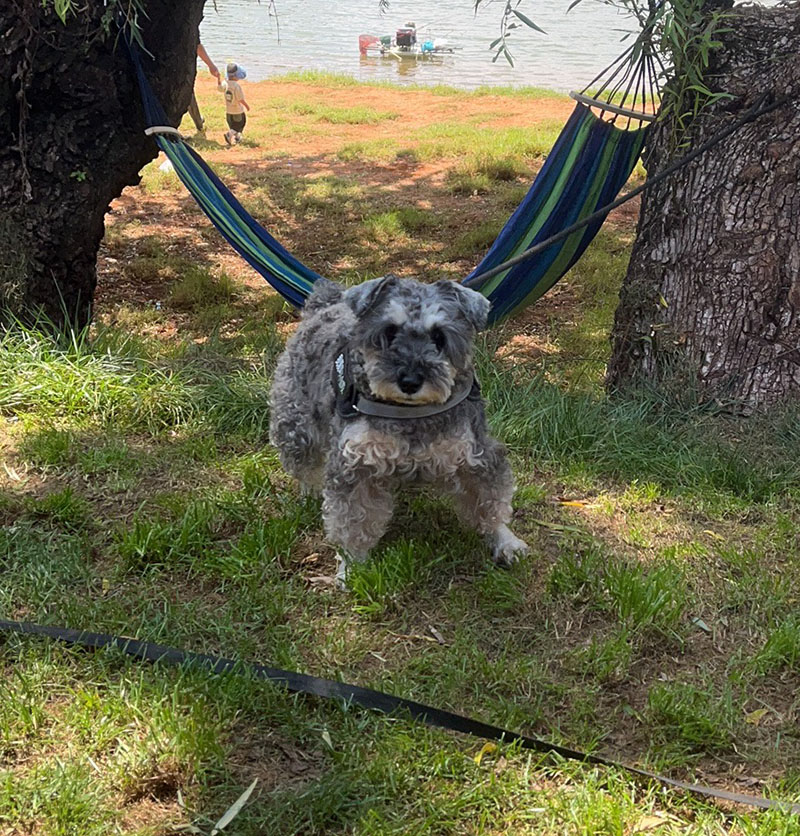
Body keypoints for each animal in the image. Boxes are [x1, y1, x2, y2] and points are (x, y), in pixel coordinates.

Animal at [270, 274, 532, 580]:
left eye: (439, 337)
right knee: (304, 465)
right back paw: (310, 489)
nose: (409, 381)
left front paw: (504, 539)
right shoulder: (356, 467)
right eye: (389, 331)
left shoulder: (475, 455)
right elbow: (353, 522)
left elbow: (489, 500)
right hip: (296, 428)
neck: (411, 413)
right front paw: (353, 566)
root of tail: (323, 304)